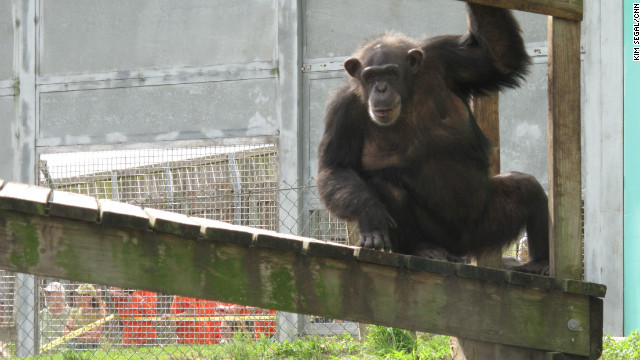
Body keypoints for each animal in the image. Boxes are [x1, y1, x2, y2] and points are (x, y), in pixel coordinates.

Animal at [318, 2, 548, 274]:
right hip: (438, 233)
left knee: (527, 188)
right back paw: (423, 248)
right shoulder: (341, 111)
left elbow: (499, 58)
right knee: (387, 186)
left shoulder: (446, 58)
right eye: (370, 76)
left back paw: (539, 262)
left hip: (485, 226)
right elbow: (335, 169)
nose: (381, 88)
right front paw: (370, 215)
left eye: (391, 72)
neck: (408, 96)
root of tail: (459, 250)